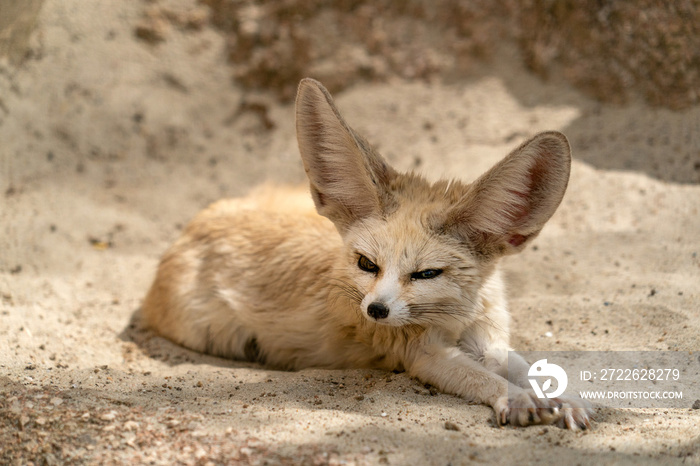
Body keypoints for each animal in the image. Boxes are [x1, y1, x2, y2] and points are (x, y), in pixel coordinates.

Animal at [142, 77, 592, 430]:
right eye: (366, 264)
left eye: (426, 274)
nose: (375, 310)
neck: (456, 320)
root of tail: (200, 219)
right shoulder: (422, 354)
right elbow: (487, 379)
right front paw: (518, 399)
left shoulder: (489, 339)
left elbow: (524, 366)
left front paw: (565, 398)